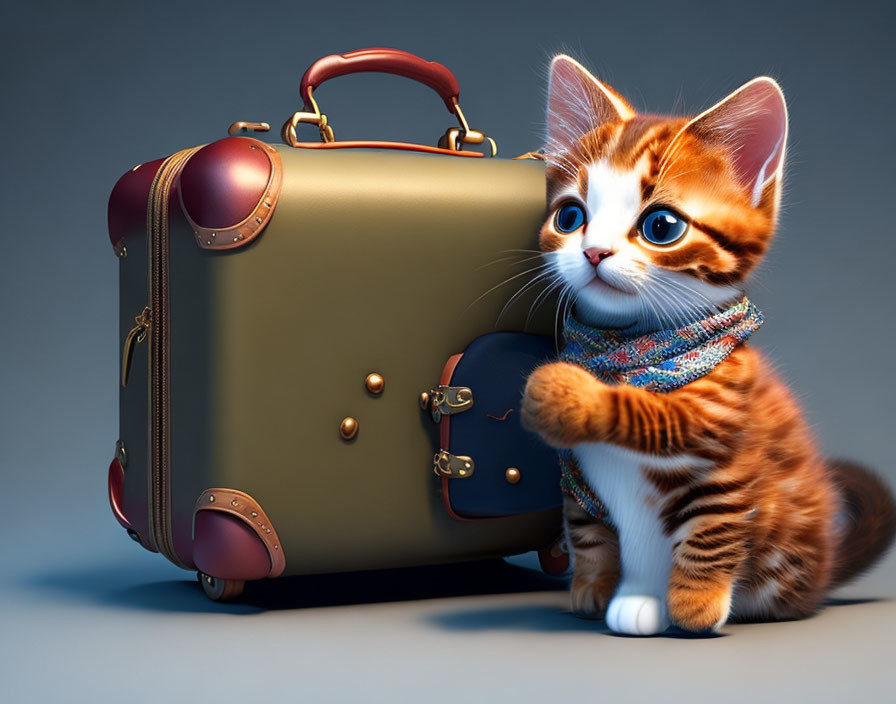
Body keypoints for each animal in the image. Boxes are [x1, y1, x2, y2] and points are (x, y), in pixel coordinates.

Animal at [520, 57, 892, 636]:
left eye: (661, 225)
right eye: (569, 217)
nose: (594, 251)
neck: (627, 349)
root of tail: (823, 573)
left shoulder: (724, 447)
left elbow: (703, 514)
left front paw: (695, 605)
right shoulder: (578, 486)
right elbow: (588, 529)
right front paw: (596, 589)